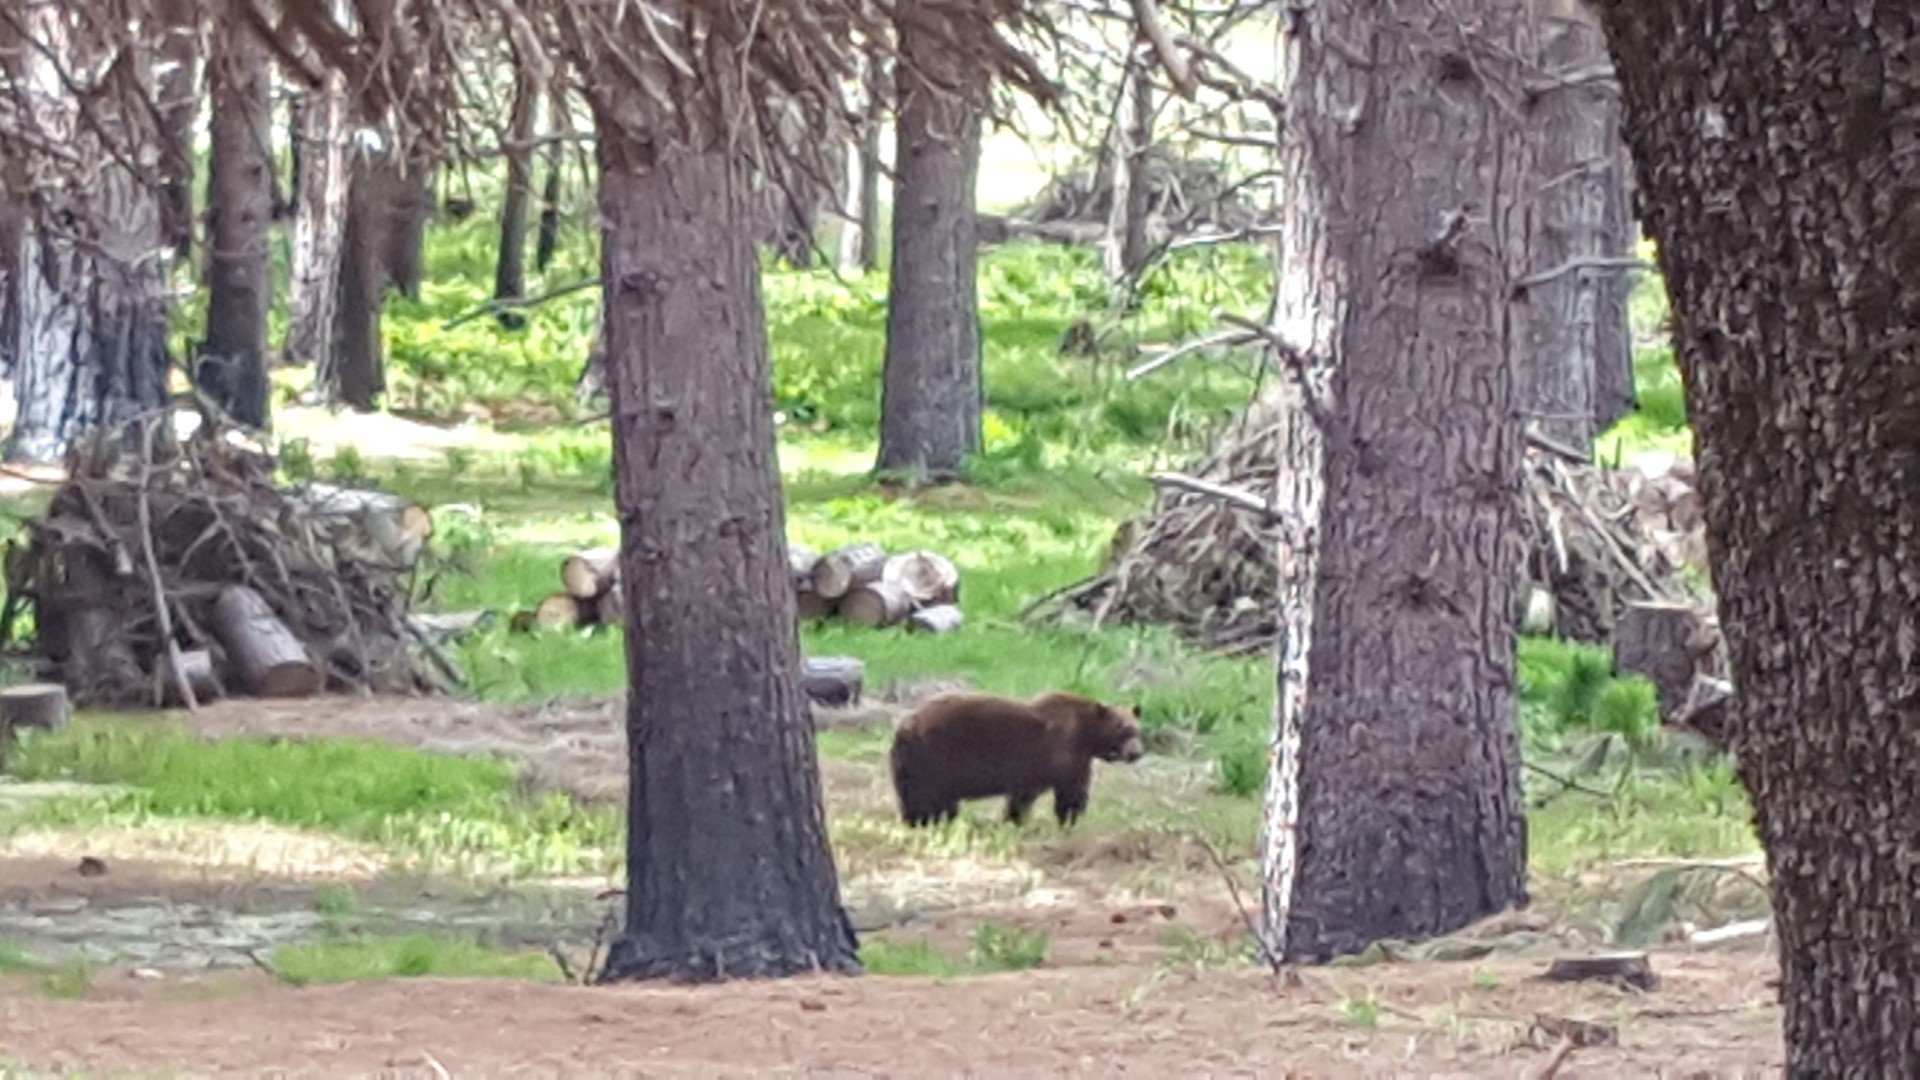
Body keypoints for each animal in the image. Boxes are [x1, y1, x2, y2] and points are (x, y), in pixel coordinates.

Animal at [888, 690, 1146, 828]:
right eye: (1123, 730)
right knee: (925, 797)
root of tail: (905, 726)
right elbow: (1067, 792)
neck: (1086, 734)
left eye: (1137, 730)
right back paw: (924, 821)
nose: (1136, 753)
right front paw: (1068, 819)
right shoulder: (1059, 753)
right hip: (933, 758)